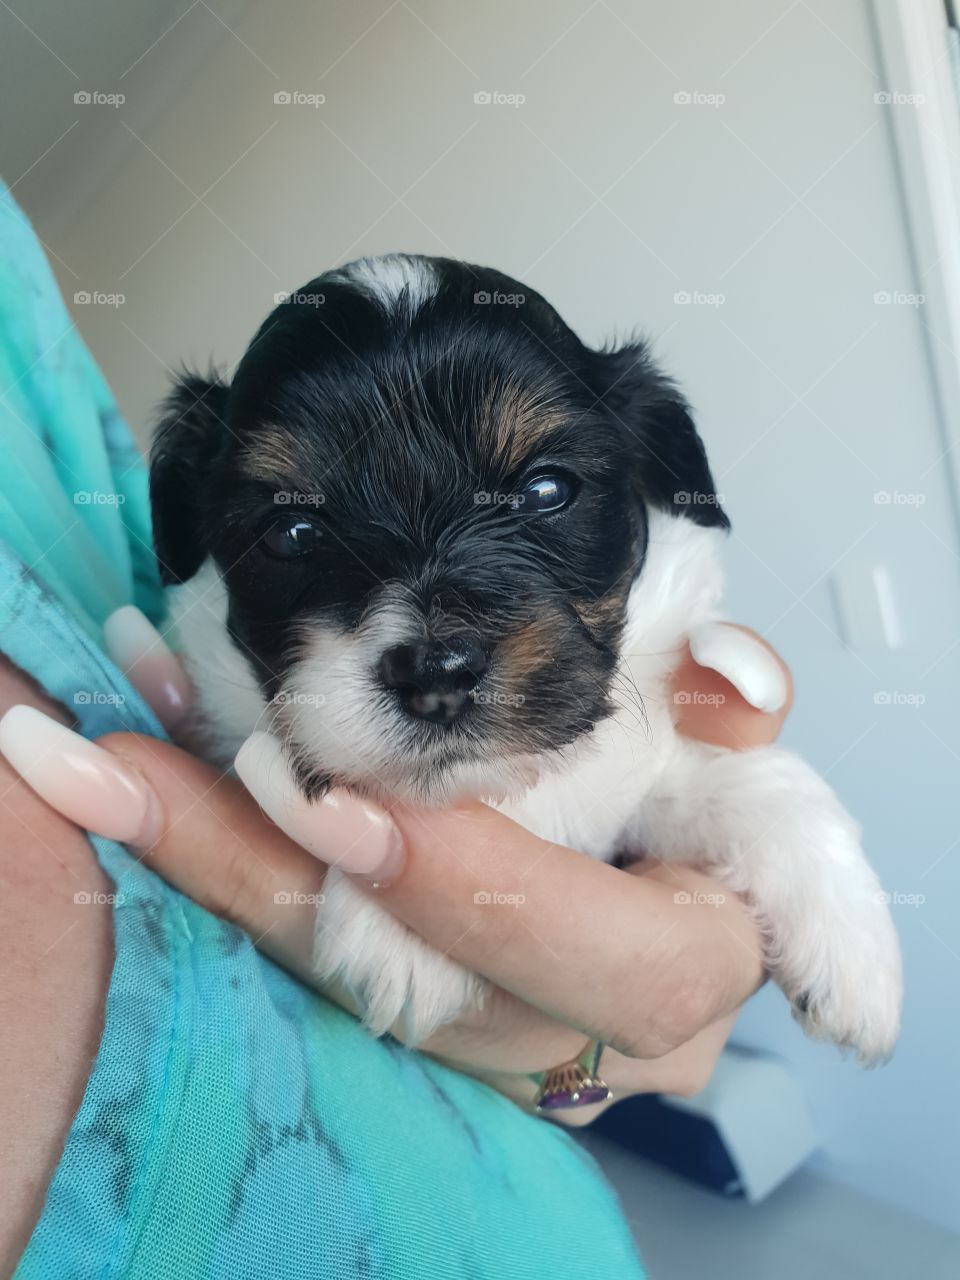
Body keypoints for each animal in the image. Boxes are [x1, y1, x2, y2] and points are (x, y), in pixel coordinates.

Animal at [154, 249, 906, 1059]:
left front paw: (855, 951)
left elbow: (749, 780)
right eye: (292, 533)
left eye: (547, 491)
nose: (437, 672)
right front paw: (406, 935)